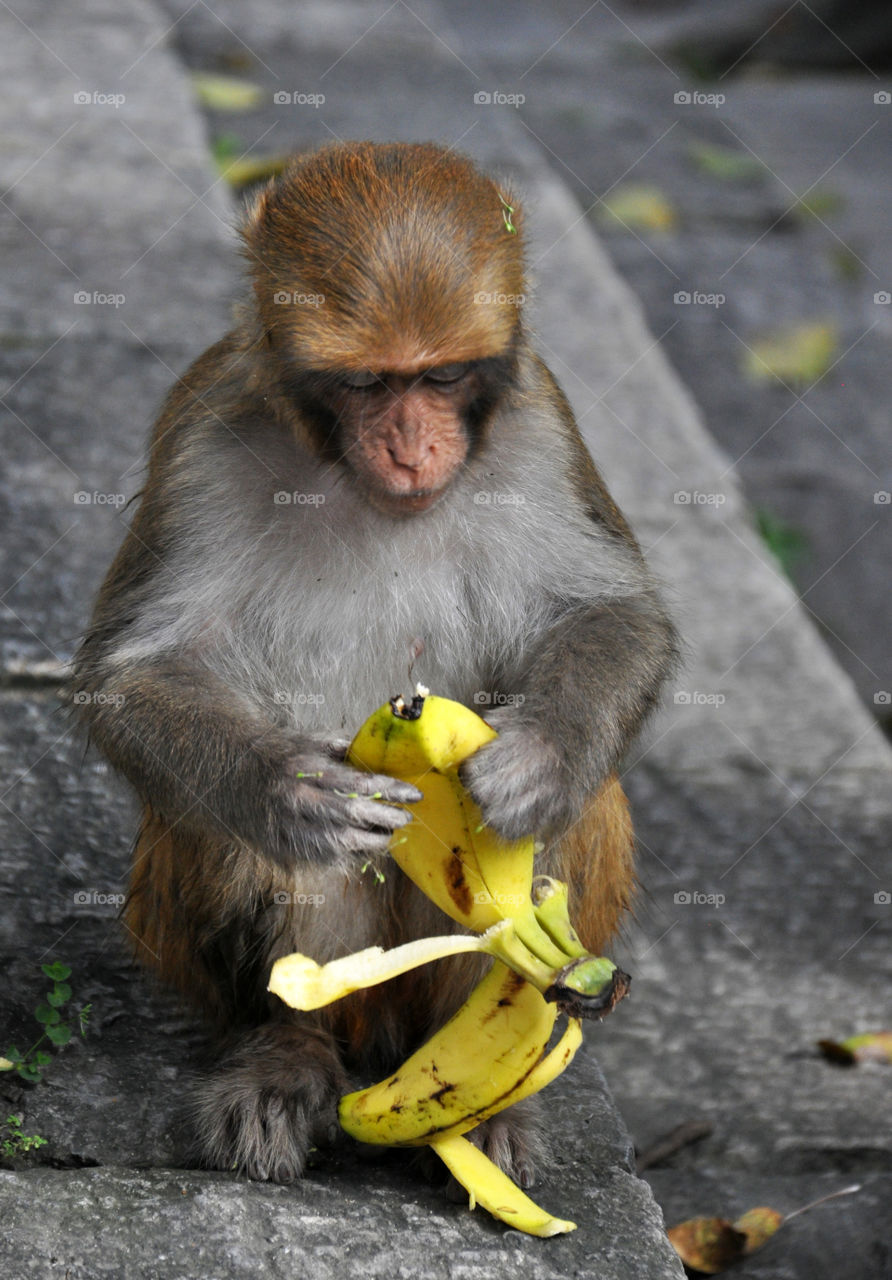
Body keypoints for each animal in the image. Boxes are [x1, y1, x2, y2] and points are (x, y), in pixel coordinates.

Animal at [72, 142, 680, 1187]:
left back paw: (482, 1093)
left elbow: (613, 614)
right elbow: (136, 674)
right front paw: (287, 789)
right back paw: (287, 1051)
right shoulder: (202, 430)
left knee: (578, 814)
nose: (409, 445)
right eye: (365, 386)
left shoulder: (541, 426)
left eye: (440, 377)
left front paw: (540, 760)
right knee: (239, 837)